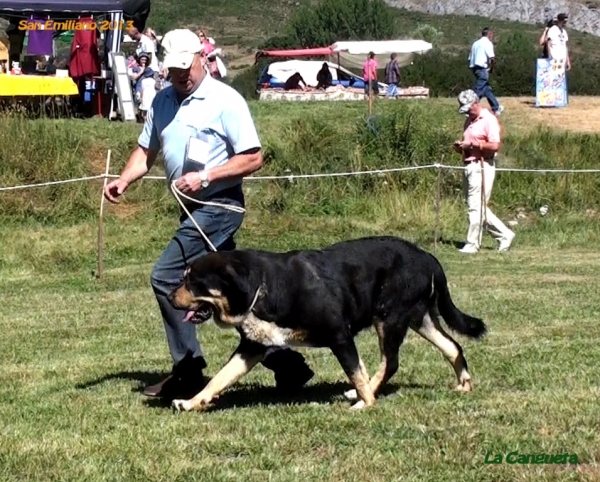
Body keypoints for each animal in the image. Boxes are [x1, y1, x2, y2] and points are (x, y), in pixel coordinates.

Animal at [166, 234, 486, 410]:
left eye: (192, 281)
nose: (169, 296)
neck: (265, 287)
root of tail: (427, 255)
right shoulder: (252, 347)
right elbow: (220, 378)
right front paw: (192, 402)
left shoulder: (339, 336)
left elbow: (355, 371)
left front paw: (366, 402)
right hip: (420, 319)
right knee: (452, 347)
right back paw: (464, 384)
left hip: (389, 318)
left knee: (391, 362)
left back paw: (362, 397)